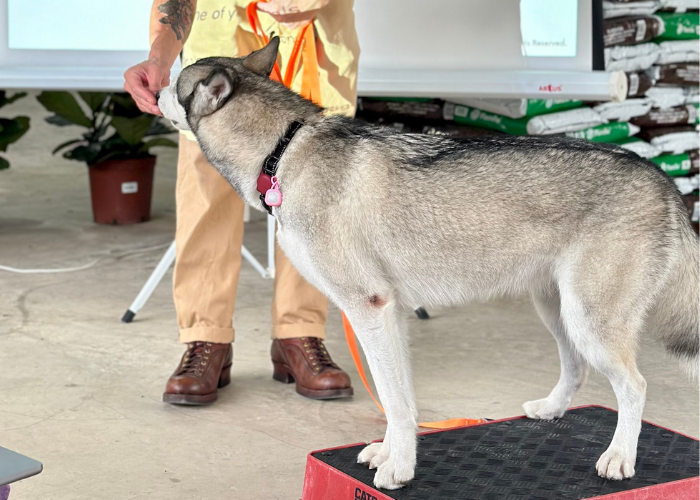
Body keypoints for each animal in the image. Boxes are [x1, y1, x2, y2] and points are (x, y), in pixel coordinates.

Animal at [160, 38, 700, 488]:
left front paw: (399, 468)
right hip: (559, 313)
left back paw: (619, 457)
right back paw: (551, 410)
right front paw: (391, 453)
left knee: (635, 386)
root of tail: (662, 179)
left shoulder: (369, 311)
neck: (283, 150)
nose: (152, 86)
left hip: (589, 323)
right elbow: (399, 399)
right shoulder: (390, 316)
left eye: (176, 82)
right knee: (577, 369)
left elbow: (395, 402)